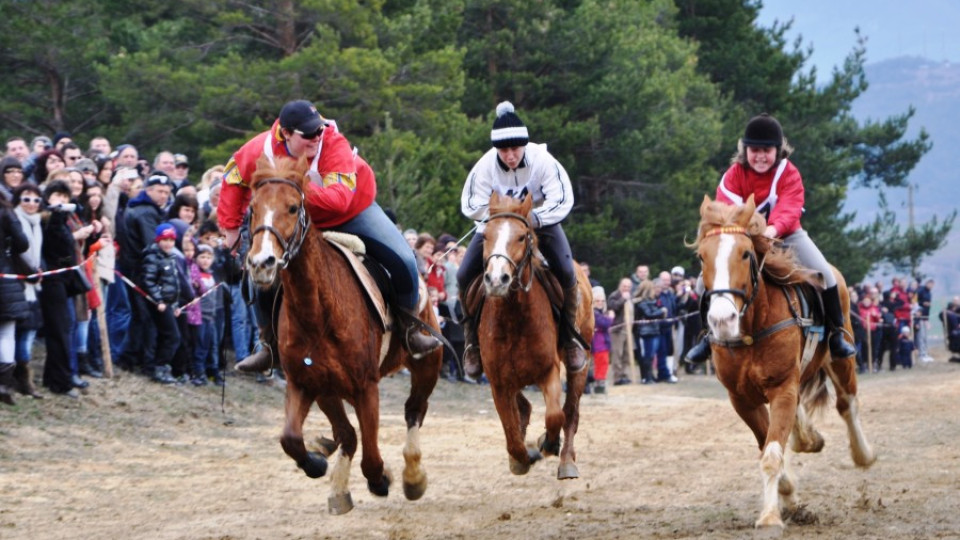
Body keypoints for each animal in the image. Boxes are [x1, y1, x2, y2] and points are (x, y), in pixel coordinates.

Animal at [246, 156, 444, 516]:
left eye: (293, 207)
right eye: (252, 208)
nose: (261, 263)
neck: (317, 311)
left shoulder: (366, 387)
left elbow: (371, 455)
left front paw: (380, 478)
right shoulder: (308, 384)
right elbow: (293, 438)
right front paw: (317, 465)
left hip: (427, 364)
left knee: (413, 411)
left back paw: (412, 477)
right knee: (349, 433)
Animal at [478, 192, 592, 478]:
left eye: (521, 236)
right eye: (485, 236)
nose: (497, 280)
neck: (514, 319)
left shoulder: (549, 371)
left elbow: (555, 416)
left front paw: (548, 443)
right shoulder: (498, 382)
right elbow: (511, 432)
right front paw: (521, 458)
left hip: (580, 364)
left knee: (571, 412)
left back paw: (566, 461)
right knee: (525, 408)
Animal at [692, 194, 872, 528]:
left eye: (746, 253)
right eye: (701, 257)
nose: (722, 320)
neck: (751, 329)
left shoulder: (782, 390)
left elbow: (772, 454)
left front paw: (770, 517)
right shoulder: (742, 399)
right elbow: (768, 445)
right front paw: (787, 496)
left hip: (840, 360)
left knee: (847, 403)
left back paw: (863, 454)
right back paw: (807, 439)